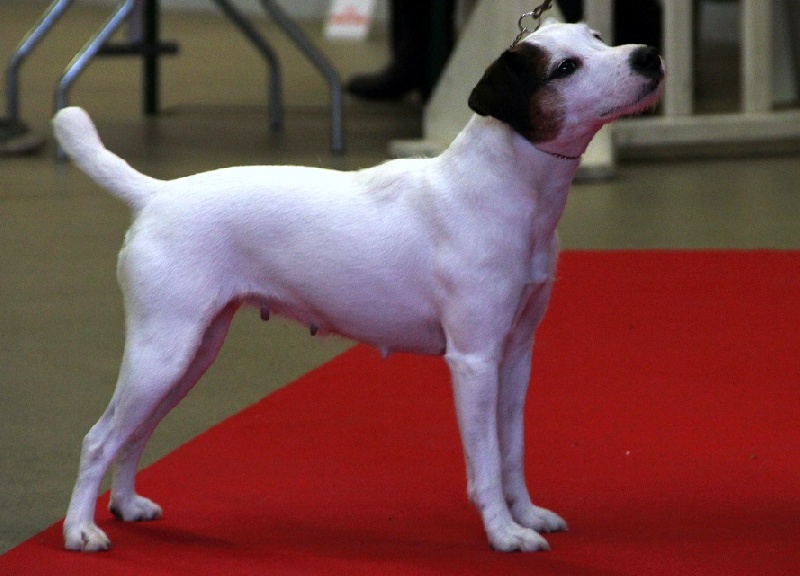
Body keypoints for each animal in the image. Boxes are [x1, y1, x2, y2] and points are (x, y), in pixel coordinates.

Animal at [54, 19, 663, 554]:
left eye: (598, 37)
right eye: (565, 67)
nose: (649, 56)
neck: (506, 187)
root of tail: (156, 194)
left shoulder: (515, 355)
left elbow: (511, 450)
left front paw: (526, 514)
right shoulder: (474, 360)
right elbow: (486, 461)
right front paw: (503, 534)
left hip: (191, 353)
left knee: (134, 434)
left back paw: (126, 504)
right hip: (162, 351)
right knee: (99, 438)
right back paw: (80, 531)